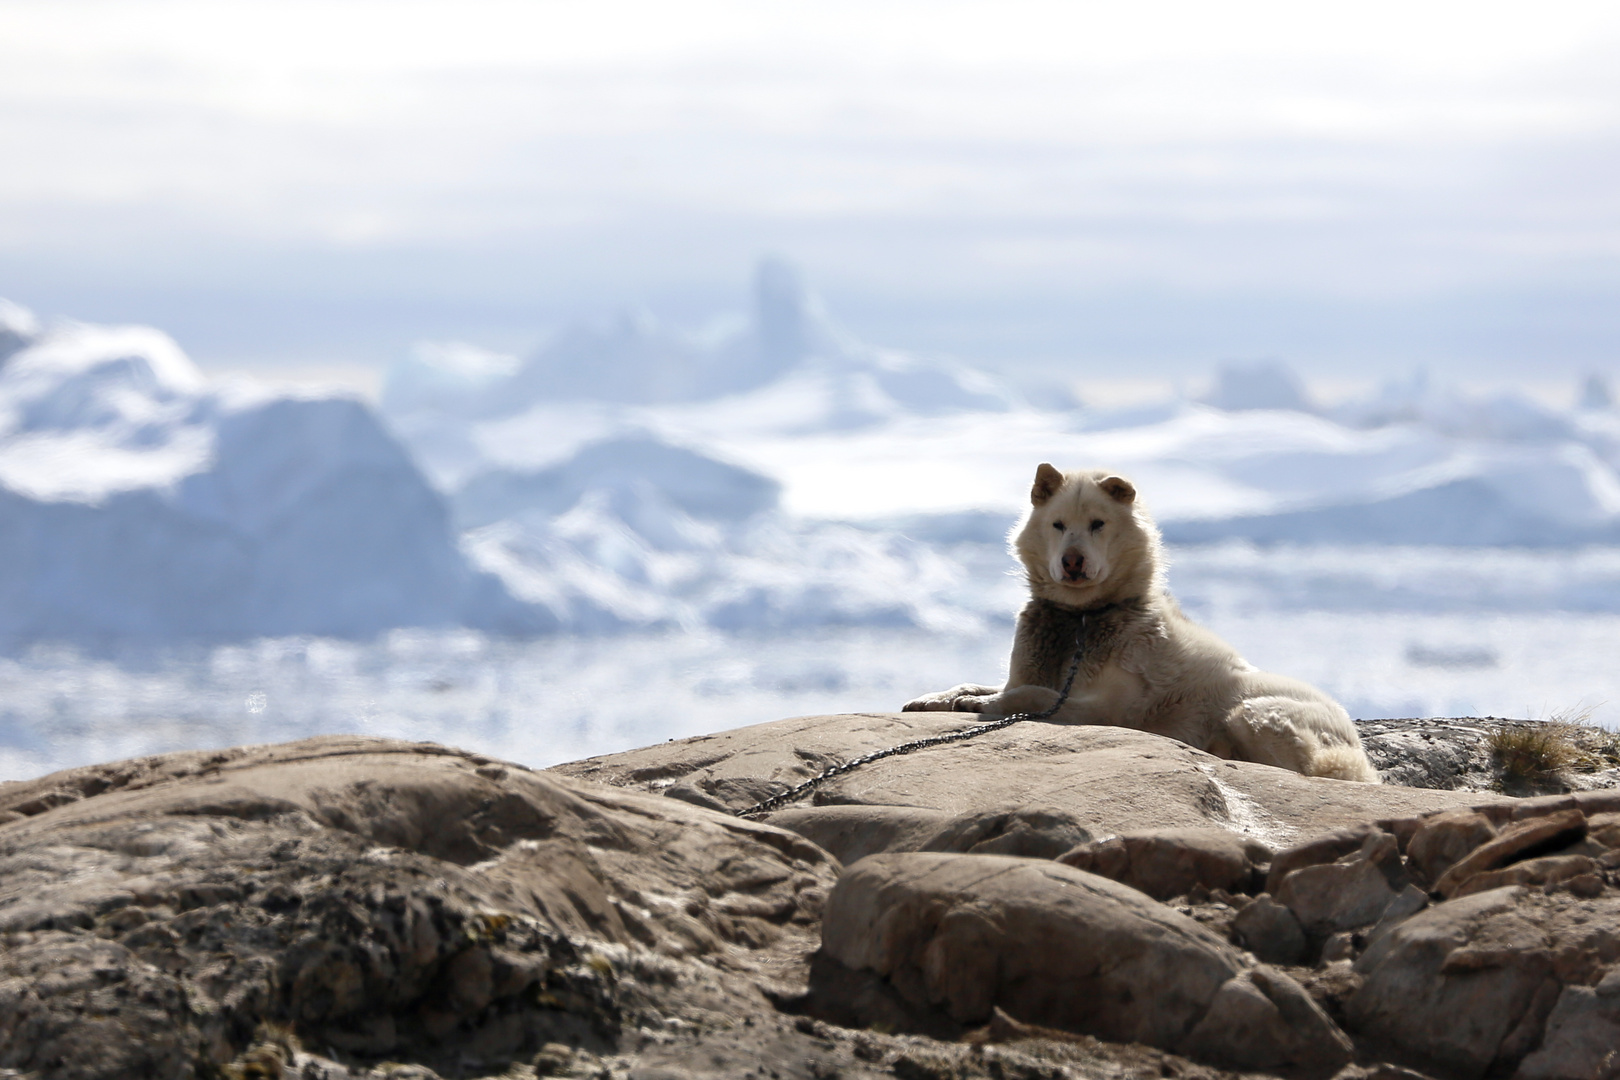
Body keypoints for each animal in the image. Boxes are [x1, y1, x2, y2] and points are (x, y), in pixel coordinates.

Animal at [907, 466, 1373, 786]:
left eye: (1098, 523)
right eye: (1058, 524)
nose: (1072, 561)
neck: (1082, 619)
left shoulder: (1106, 708)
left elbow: (1033, 694)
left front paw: (980, 704)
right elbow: (983, 682)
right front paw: (934, 698)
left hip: (1254, 711)